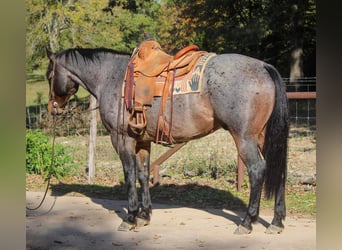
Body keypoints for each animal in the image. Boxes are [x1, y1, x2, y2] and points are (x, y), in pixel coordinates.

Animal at [45, 42, 288, 232]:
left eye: (49, 76)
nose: (52, 108)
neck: (111, 77)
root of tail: (263, 66)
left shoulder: (121, 139)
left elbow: (129, 175)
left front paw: (130, 217)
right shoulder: (142, 141)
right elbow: (143, 175)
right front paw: (144, 215)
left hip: (244, 138)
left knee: (257, 170)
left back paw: (247, 222)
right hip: (262, 137)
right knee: (280, 171)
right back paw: (276, 221)